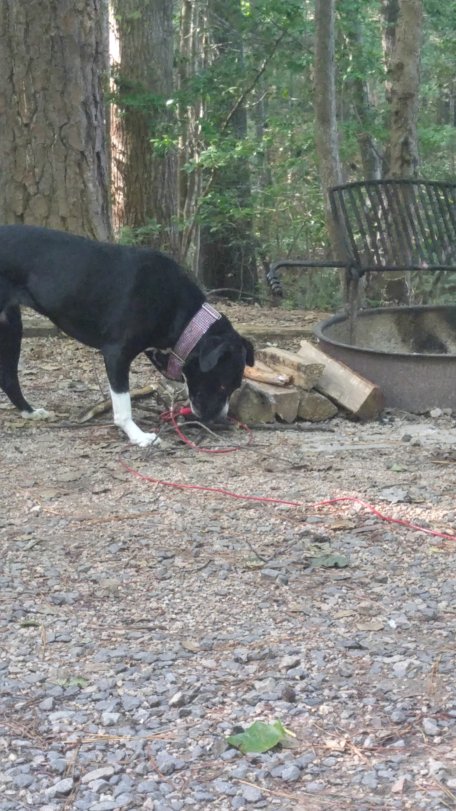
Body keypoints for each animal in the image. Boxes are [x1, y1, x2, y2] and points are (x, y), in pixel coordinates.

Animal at [0, 225, 253, 448]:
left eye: (236, 386)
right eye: (222, 385)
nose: (220, 419)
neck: (184, 317)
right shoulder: (116, 354)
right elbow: (123, 405)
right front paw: (138, 436)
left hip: (11, 326)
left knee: (9, 378)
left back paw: (29, 412)